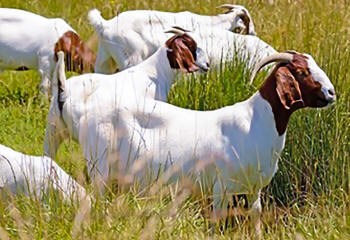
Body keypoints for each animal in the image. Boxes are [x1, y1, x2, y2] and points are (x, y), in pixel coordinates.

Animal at [47, 48, 336, 234]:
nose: (332, 92)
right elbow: (217, 223)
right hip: (100, 169)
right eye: (301, 71)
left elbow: (255, 217)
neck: (256, 122)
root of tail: (86, 112)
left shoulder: (254, 188)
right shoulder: (221, 186)